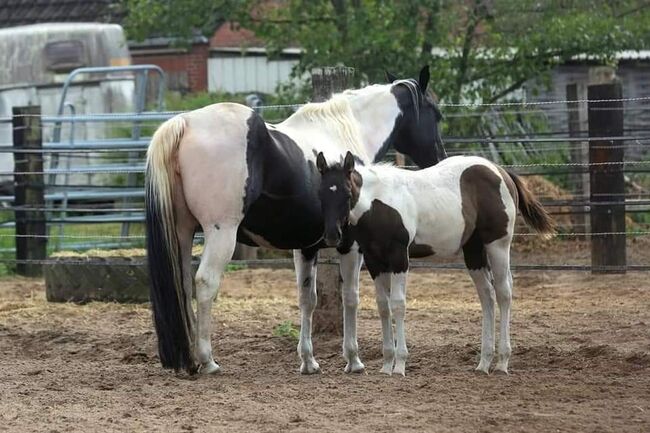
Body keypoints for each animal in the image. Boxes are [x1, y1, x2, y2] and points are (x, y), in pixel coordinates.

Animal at [145, 66, 446, 372]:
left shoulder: (306, 247)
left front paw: (309, 361)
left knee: (183, 286)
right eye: (435, 114)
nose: (439, 157)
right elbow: (351, 298)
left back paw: (192, 359)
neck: (345, 135)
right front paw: (353, 359)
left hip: (183, 233)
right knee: (205, 283)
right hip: (221, 233)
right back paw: (208, 361)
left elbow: (307, 300)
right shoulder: (351, 246)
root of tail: (185, 123)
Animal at [316, 151, 552, 374]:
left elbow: (398, 304)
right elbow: (383, 306)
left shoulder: (399, 257)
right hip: (473, 250)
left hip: (498, 244)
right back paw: (484, 363)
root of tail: (501, 171)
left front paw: (400, 365)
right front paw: (386, 365)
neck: (379, 202)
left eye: (347, 194)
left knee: (503, 292)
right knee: (487, 295)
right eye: (320, 194)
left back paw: (502, 362)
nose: (332, 236)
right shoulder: (375, 261)